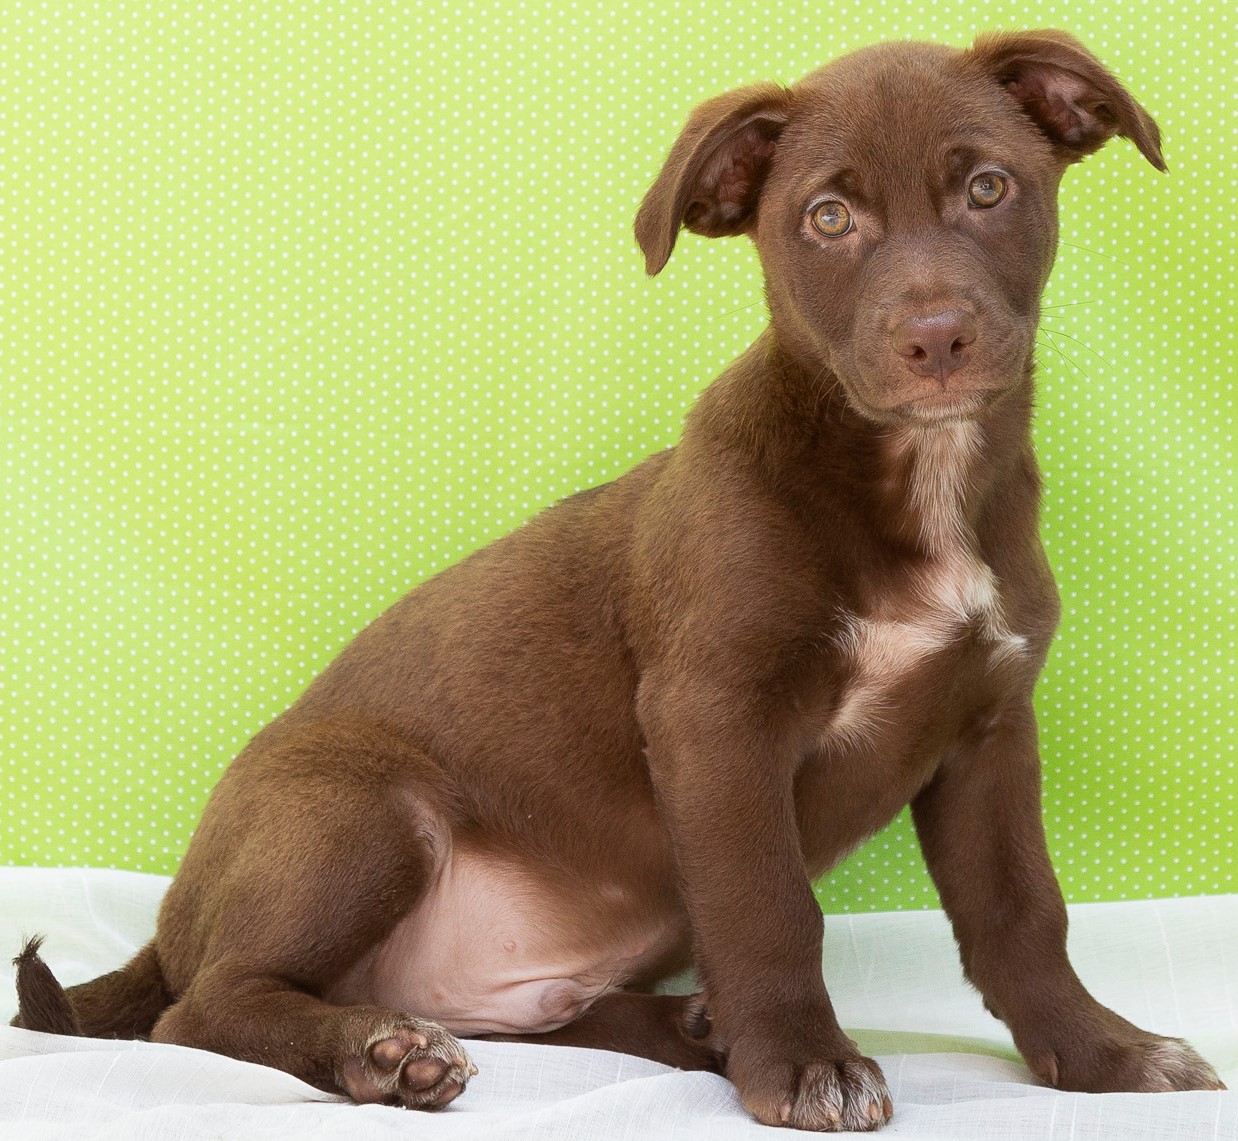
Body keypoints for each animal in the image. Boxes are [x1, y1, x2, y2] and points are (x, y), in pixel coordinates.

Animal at [14, 28, 1223, 1128]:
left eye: (987, 188)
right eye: (827, 219)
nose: (935, 338)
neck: (915, 481)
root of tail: (169, 923)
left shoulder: (987, 727)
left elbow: (1022, 910)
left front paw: (1100, 1051)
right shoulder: (718, 716)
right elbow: (769, 904)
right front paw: (801, 1063)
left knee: (534, 1015)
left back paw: (682, 1025)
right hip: (359, 807)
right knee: (203, 1006)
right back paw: (379, 1051)